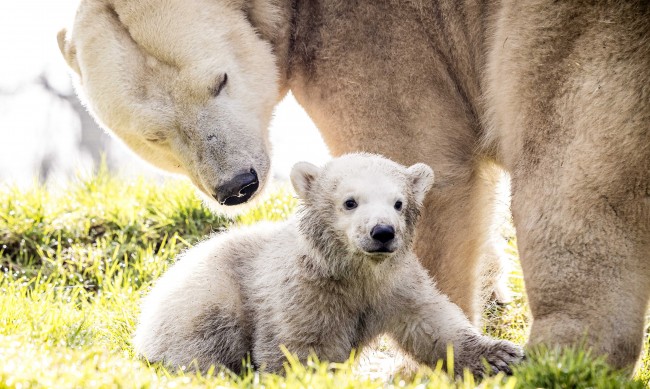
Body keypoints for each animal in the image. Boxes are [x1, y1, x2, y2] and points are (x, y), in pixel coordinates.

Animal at [58, 0, 644, 366]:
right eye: (154, 133)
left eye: (219, 81)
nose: (238, 185)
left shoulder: (375, 36)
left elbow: (422, 157)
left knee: (569, 158)